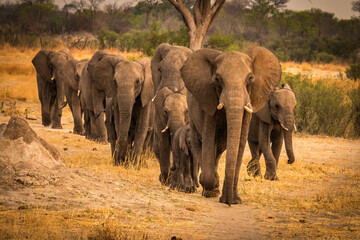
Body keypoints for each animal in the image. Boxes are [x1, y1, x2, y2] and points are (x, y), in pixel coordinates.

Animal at [180, 47, 282, 206]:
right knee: (199, 142)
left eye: (250, 78)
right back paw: (210, 189)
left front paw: (235, 200)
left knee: (219, 149)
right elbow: (209, 138)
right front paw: (212, 190)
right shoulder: (208, 99)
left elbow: (240, 141)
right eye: (217, 79)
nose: (227, 202)